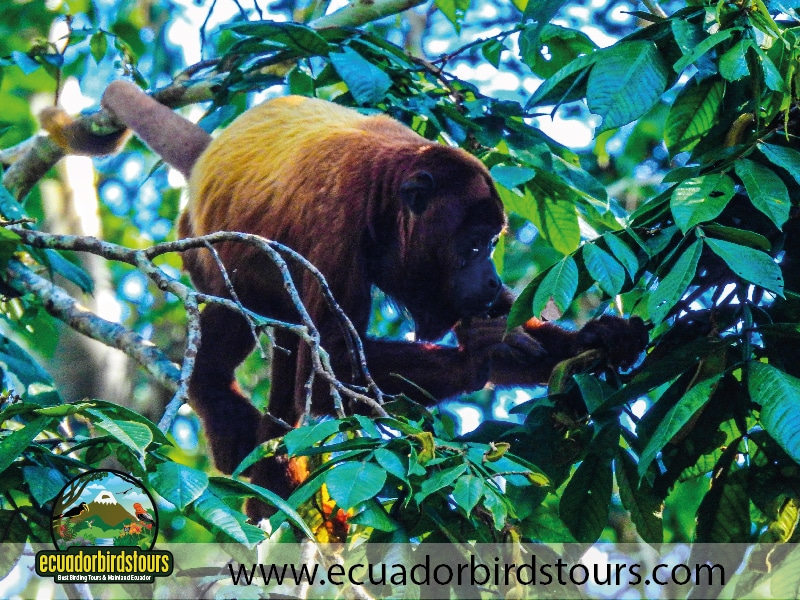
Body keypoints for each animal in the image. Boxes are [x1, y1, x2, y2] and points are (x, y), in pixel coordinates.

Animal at [41, 81, 648, 518]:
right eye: (474, 246)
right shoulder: (336, 223)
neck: (387, 184)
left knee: (286, 355)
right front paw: (478, 356)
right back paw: (252, 459)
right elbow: (337, 370)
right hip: (204, 248)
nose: (495, 282)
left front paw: (600, 338)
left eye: (493, 244)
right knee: (230, 352)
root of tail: (211, 150)